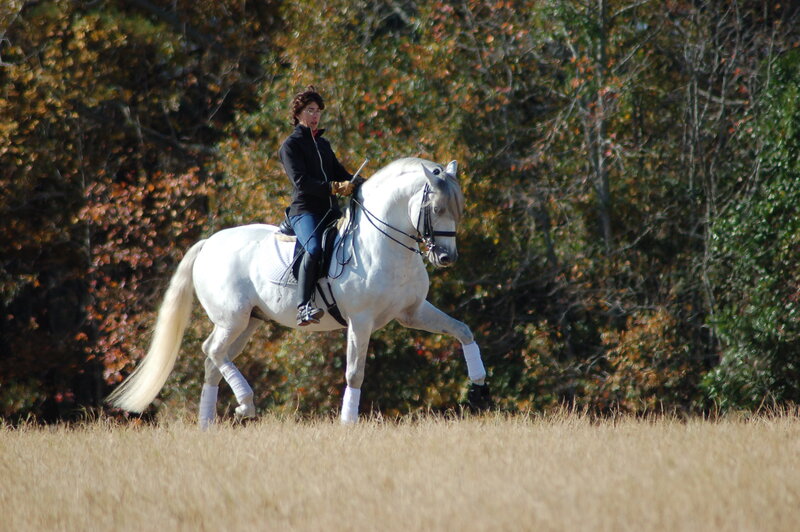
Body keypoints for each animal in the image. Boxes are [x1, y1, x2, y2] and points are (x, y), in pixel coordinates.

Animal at [107, 157, 491, 425]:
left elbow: (463, 330)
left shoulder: (412, 312)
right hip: (232, 320)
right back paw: (246, 403)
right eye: (436, 209)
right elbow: (355, 371)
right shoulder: (361, 321)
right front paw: (348, 422)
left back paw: (209, 422)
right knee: (212, 351)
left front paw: (479, 387)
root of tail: (208, 243)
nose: (446, 258)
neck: (384, 244)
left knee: (213, 361)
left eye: (459, 209)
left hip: (248, 323)